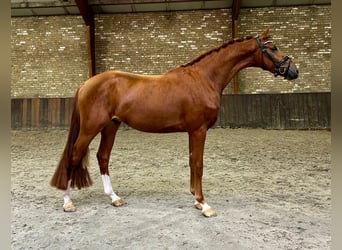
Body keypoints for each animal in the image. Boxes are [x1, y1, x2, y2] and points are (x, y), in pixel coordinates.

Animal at [50, 28, 296, 217]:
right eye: (273, 48)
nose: (294, 70)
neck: (204, 78)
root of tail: (86, 83)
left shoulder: (193, 131)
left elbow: (192, 162)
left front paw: (196, 200)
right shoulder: (198, 130)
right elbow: (198, 164)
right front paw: (204, 204)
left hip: (111, 126)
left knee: (103, 157)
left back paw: (114, 198)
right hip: (91, 128)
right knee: (74, 156)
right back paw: (68, 202)